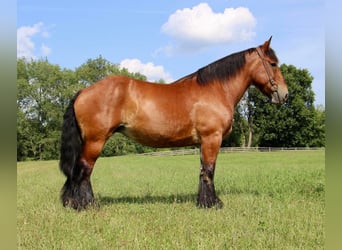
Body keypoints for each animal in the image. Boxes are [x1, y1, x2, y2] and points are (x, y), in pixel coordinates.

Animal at [60, 37, 288, 209]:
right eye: (273, 64)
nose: (285, 95)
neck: (215, 89)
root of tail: (83, 91)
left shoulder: (204, 142)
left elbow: (203, 170)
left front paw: (203, 202)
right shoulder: (212, 138)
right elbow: (210, 170)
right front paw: (212, 204)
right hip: (95, 141)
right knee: (84, 170)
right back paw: (87, 205)